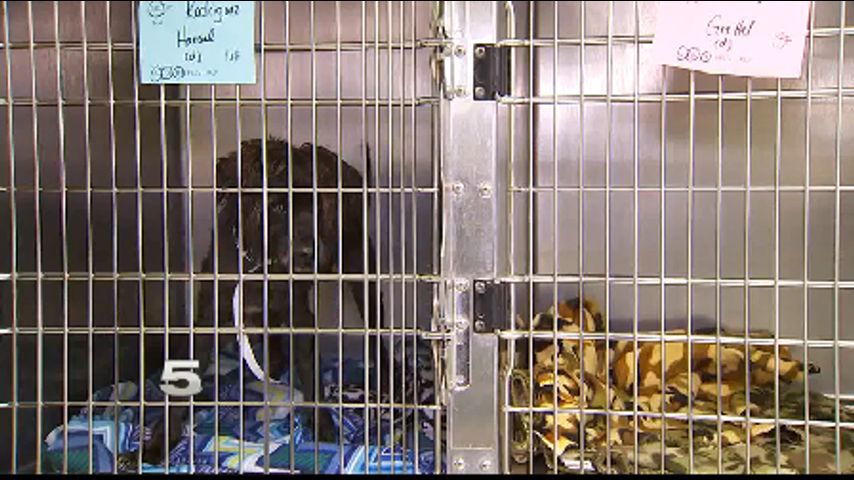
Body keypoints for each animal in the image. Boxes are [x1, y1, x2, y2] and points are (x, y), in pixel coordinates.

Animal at [140, 138, 388, 465]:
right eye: (279, 206)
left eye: (320, 207)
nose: (311, 254)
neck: (261, 264)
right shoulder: (208, 320)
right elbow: (182, 383)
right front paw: (157, 444)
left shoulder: (302, 321)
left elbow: (312, 379)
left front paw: (322, 431)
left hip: (362, 276)